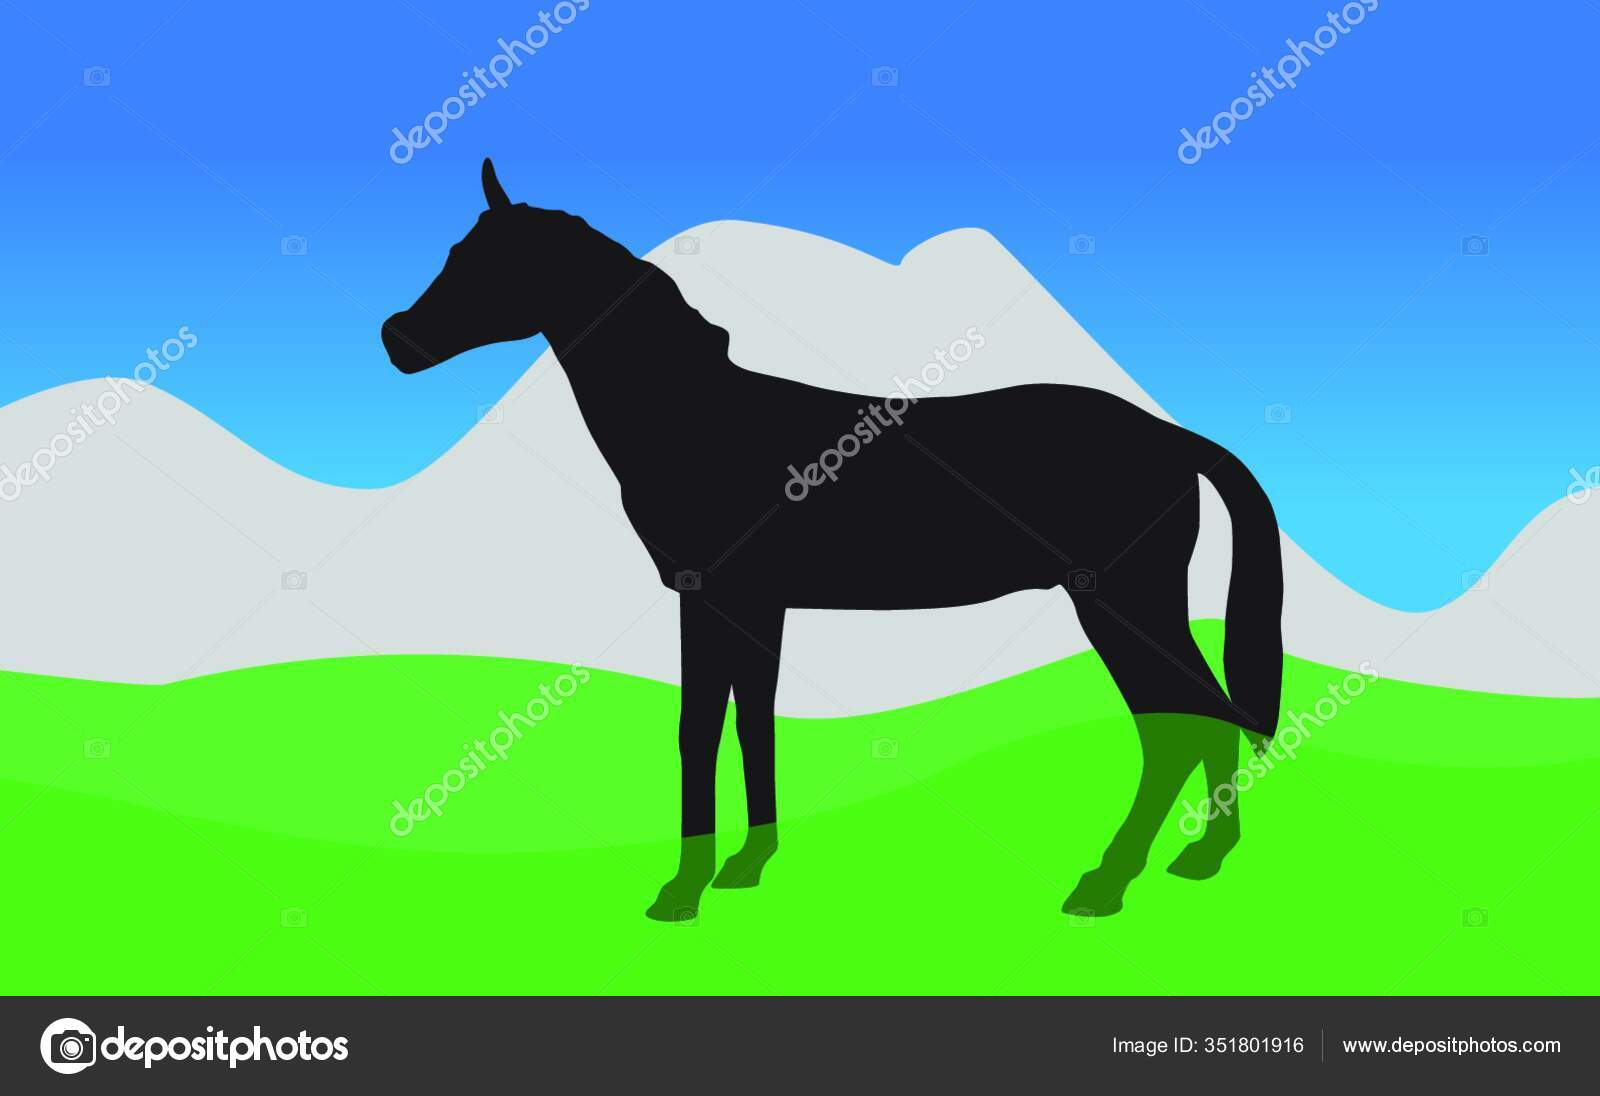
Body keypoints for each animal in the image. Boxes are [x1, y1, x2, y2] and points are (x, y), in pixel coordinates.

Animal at [383, 159, 1284, 920]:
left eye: (488, 262)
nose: (397, 339)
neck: (697, 419)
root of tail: (1170, 438)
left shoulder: (711, 597)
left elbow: (698, 728)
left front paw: (681, 890)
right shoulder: (757, 607)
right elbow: (753, 721)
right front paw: (747, 864)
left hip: (1124, 600)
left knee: (1179, 725)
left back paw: (1108, 881)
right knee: (1202, 717)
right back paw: (1200, 859)